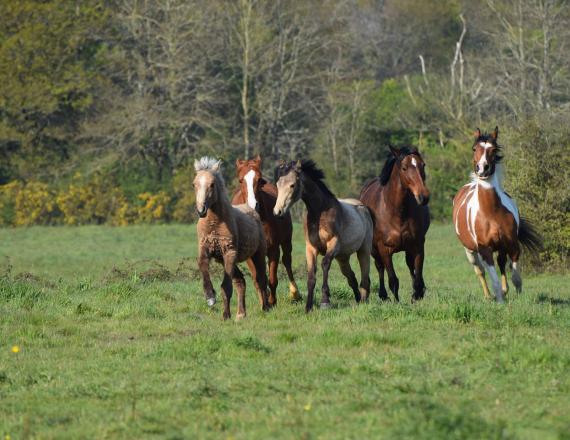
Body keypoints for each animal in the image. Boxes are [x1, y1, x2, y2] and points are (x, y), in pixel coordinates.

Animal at [193, 156, 268, 320]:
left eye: (212, 184)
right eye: (194, 184)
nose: (201, 210)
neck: (215, 224)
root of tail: (250, 208)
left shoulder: (229, 252)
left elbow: (226, 287)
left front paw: (225, 315)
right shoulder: (205, 250)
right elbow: (203, 267)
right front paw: (210, 296)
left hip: (257, 254)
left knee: (261, 279)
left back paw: (266, 308)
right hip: (227, 261)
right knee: (240, 281)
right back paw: (241, 314)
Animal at [231, 155, 302, 306]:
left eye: (259, 179)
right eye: (240, 180)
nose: (253, 205)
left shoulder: (273, 249)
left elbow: (272, 279)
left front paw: (272, 301)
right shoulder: (250, 254)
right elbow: (257, 279)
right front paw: (264, 301)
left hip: (286, 241)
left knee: (287, 261)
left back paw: (295, 293)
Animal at [272, 160, 372, 312]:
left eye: (292, 185)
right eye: (278, 184)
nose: (278, 212)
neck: (319, 212)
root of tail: (363, 207)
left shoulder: (333, 244)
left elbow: (325, 264)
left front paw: (325, 301)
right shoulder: (311, 248)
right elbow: (311, 275)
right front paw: (308, 307)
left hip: (363, 251)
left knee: (365, 277)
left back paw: (363, 302)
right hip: (343, 258)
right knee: (351, 278)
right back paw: (358, 299)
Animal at [360, 146, 430, 300]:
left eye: (423, 165)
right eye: (404, 168)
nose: (424, 197)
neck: (397, 212)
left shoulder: (418, 245)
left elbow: (417, 275)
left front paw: (417, 295)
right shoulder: (384, 249)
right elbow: (393, 280)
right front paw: (397, 302)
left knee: (410, 267)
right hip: (374, 249)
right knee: (380, 267)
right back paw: (383, 295)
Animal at [450, 125, 540, 300]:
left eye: (493, 149)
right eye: (474, 148)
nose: (482, 169)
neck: (491, 213)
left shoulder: (512, 245)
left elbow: (515, 277)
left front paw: (517, 297)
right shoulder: (485, 250)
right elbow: (494, 280)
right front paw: (499, 299)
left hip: (501, 247)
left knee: (501, 264)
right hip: (470, 251)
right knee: (480, 270)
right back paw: (488, 296)